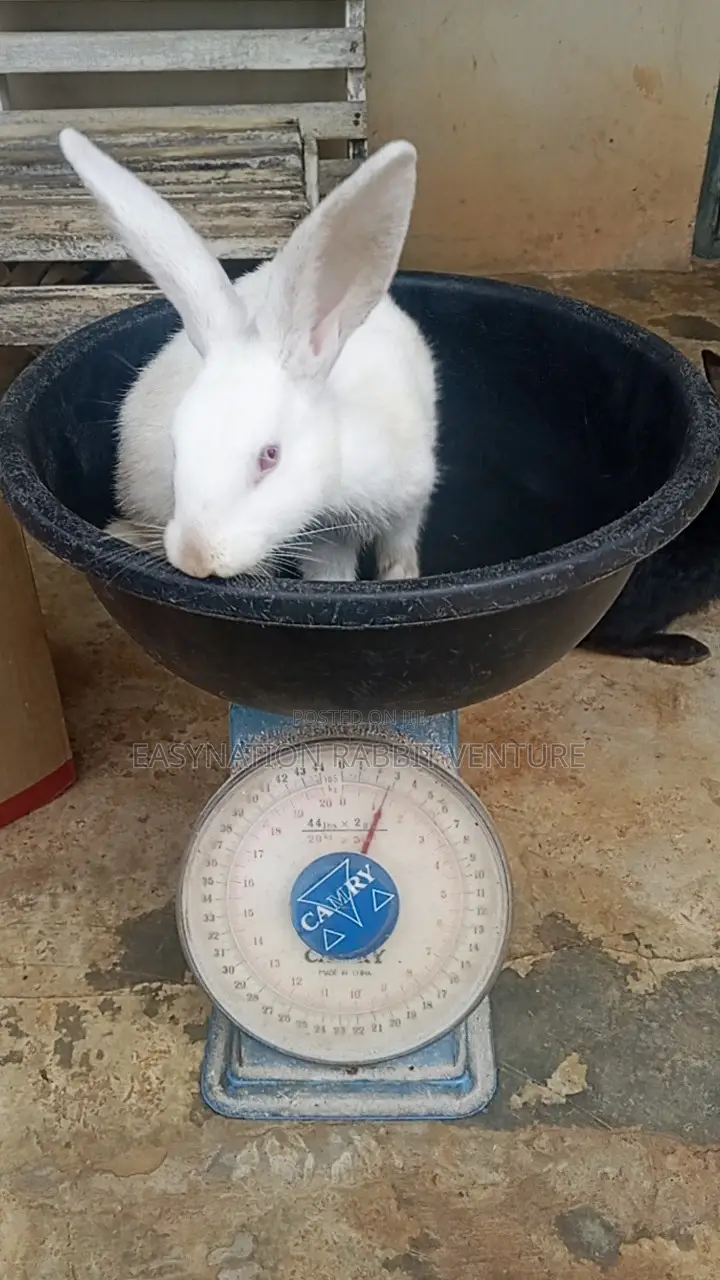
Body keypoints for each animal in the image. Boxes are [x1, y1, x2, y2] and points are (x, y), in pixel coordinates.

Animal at [57, 128, 438, 583]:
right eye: (177, 445)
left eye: (269, 457)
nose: (196, 559)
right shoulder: (324, 539)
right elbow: (331, 576)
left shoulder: (409, 501)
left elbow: (400, 549)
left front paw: (402, 578)